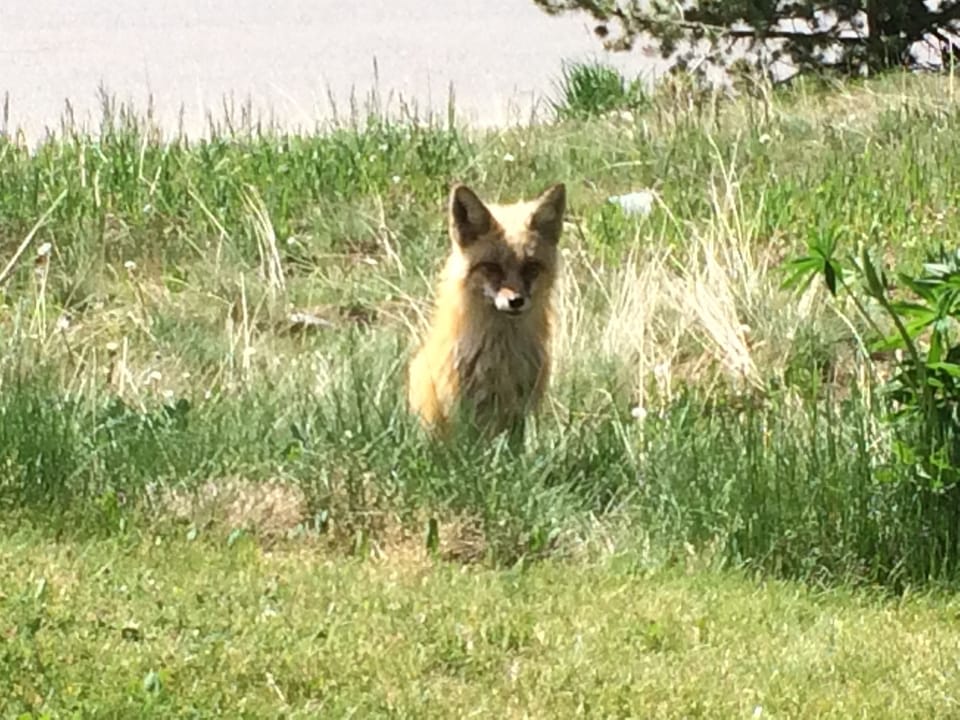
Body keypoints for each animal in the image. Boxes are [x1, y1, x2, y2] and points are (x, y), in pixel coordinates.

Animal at [407, 181, 566, 440]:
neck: (501, 355)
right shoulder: (460, 412)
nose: (516, 301)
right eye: (492, 267)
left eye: (531, 267)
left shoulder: (521, 411)